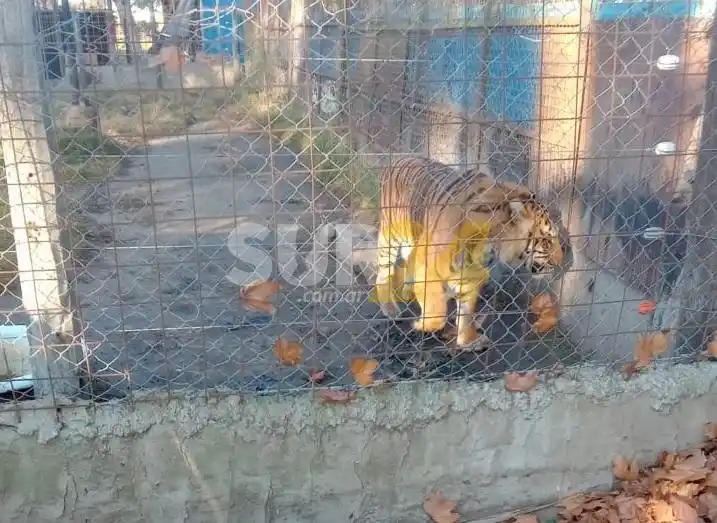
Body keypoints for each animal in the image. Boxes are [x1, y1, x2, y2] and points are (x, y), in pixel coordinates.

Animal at [372, 156, 571, 348]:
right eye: (546, 241)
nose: (561, 262)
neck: (490, 245)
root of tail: (399, 158)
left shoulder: (470, 275)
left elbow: (466, 311)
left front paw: (468, 340)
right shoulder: (430, 267)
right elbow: (437, 311)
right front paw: (423, 325)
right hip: (390, 236)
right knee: (383, 273)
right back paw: (391, 309)